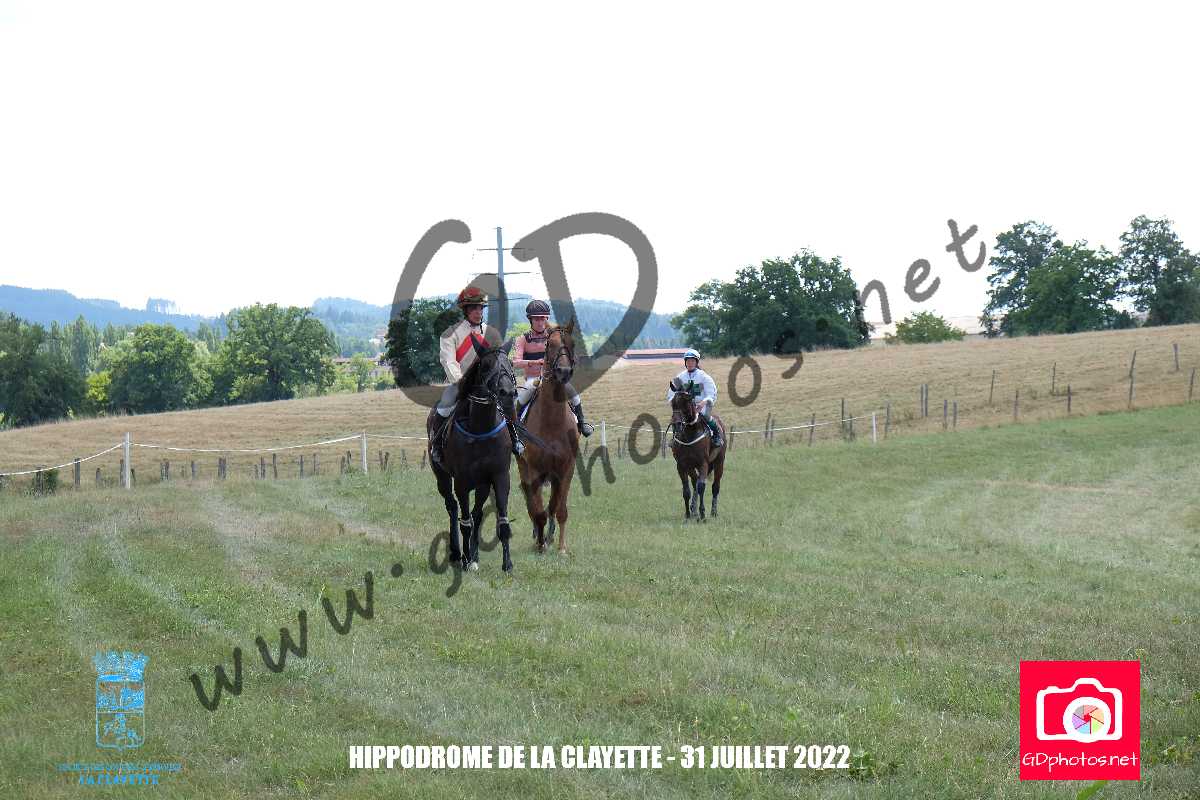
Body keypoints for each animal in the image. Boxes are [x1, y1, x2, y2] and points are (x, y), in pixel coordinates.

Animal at [426, 337, 518, 572]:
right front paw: (466, 560)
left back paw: (474, 555)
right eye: (485, 365)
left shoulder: (499, 477)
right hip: (442, 476)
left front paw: (507, 564)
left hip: (483, 483)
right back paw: (457, 554)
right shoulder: (462, 481)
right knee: (452, 507)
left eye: (510, 364)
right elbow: (465, 522)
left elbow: (501, 521)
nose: (507, 392)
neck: (482, 428)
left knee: (477, 513)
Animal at [515, 321, 580, 554]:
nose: (564, 372)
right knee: (532, 502)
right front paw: (541, 545)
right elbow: (538, 510)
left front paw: (561, 547)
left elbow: (560, 509)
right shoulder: (534, 469)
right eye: (549, 345)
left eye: (572, 343)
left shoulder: (566, 469)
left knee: (552, 504)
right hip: (523, 467)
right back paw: (539, 537)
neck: (552, 422)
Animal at [668, 378, 727, 521]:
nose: (677, 425)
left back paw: (713, 512)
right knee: (694, 482)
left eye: (687, 401)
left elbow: (701, 487)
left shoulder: (703, 463)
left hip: (719, 462)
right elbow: (686, 490)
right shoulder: (682, 465)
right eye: (673, 403)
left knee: (715, 486)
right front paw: (688, 515)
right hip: (691, 467)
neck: (690, 434)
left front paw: (703, 514)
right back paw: (693, 510)